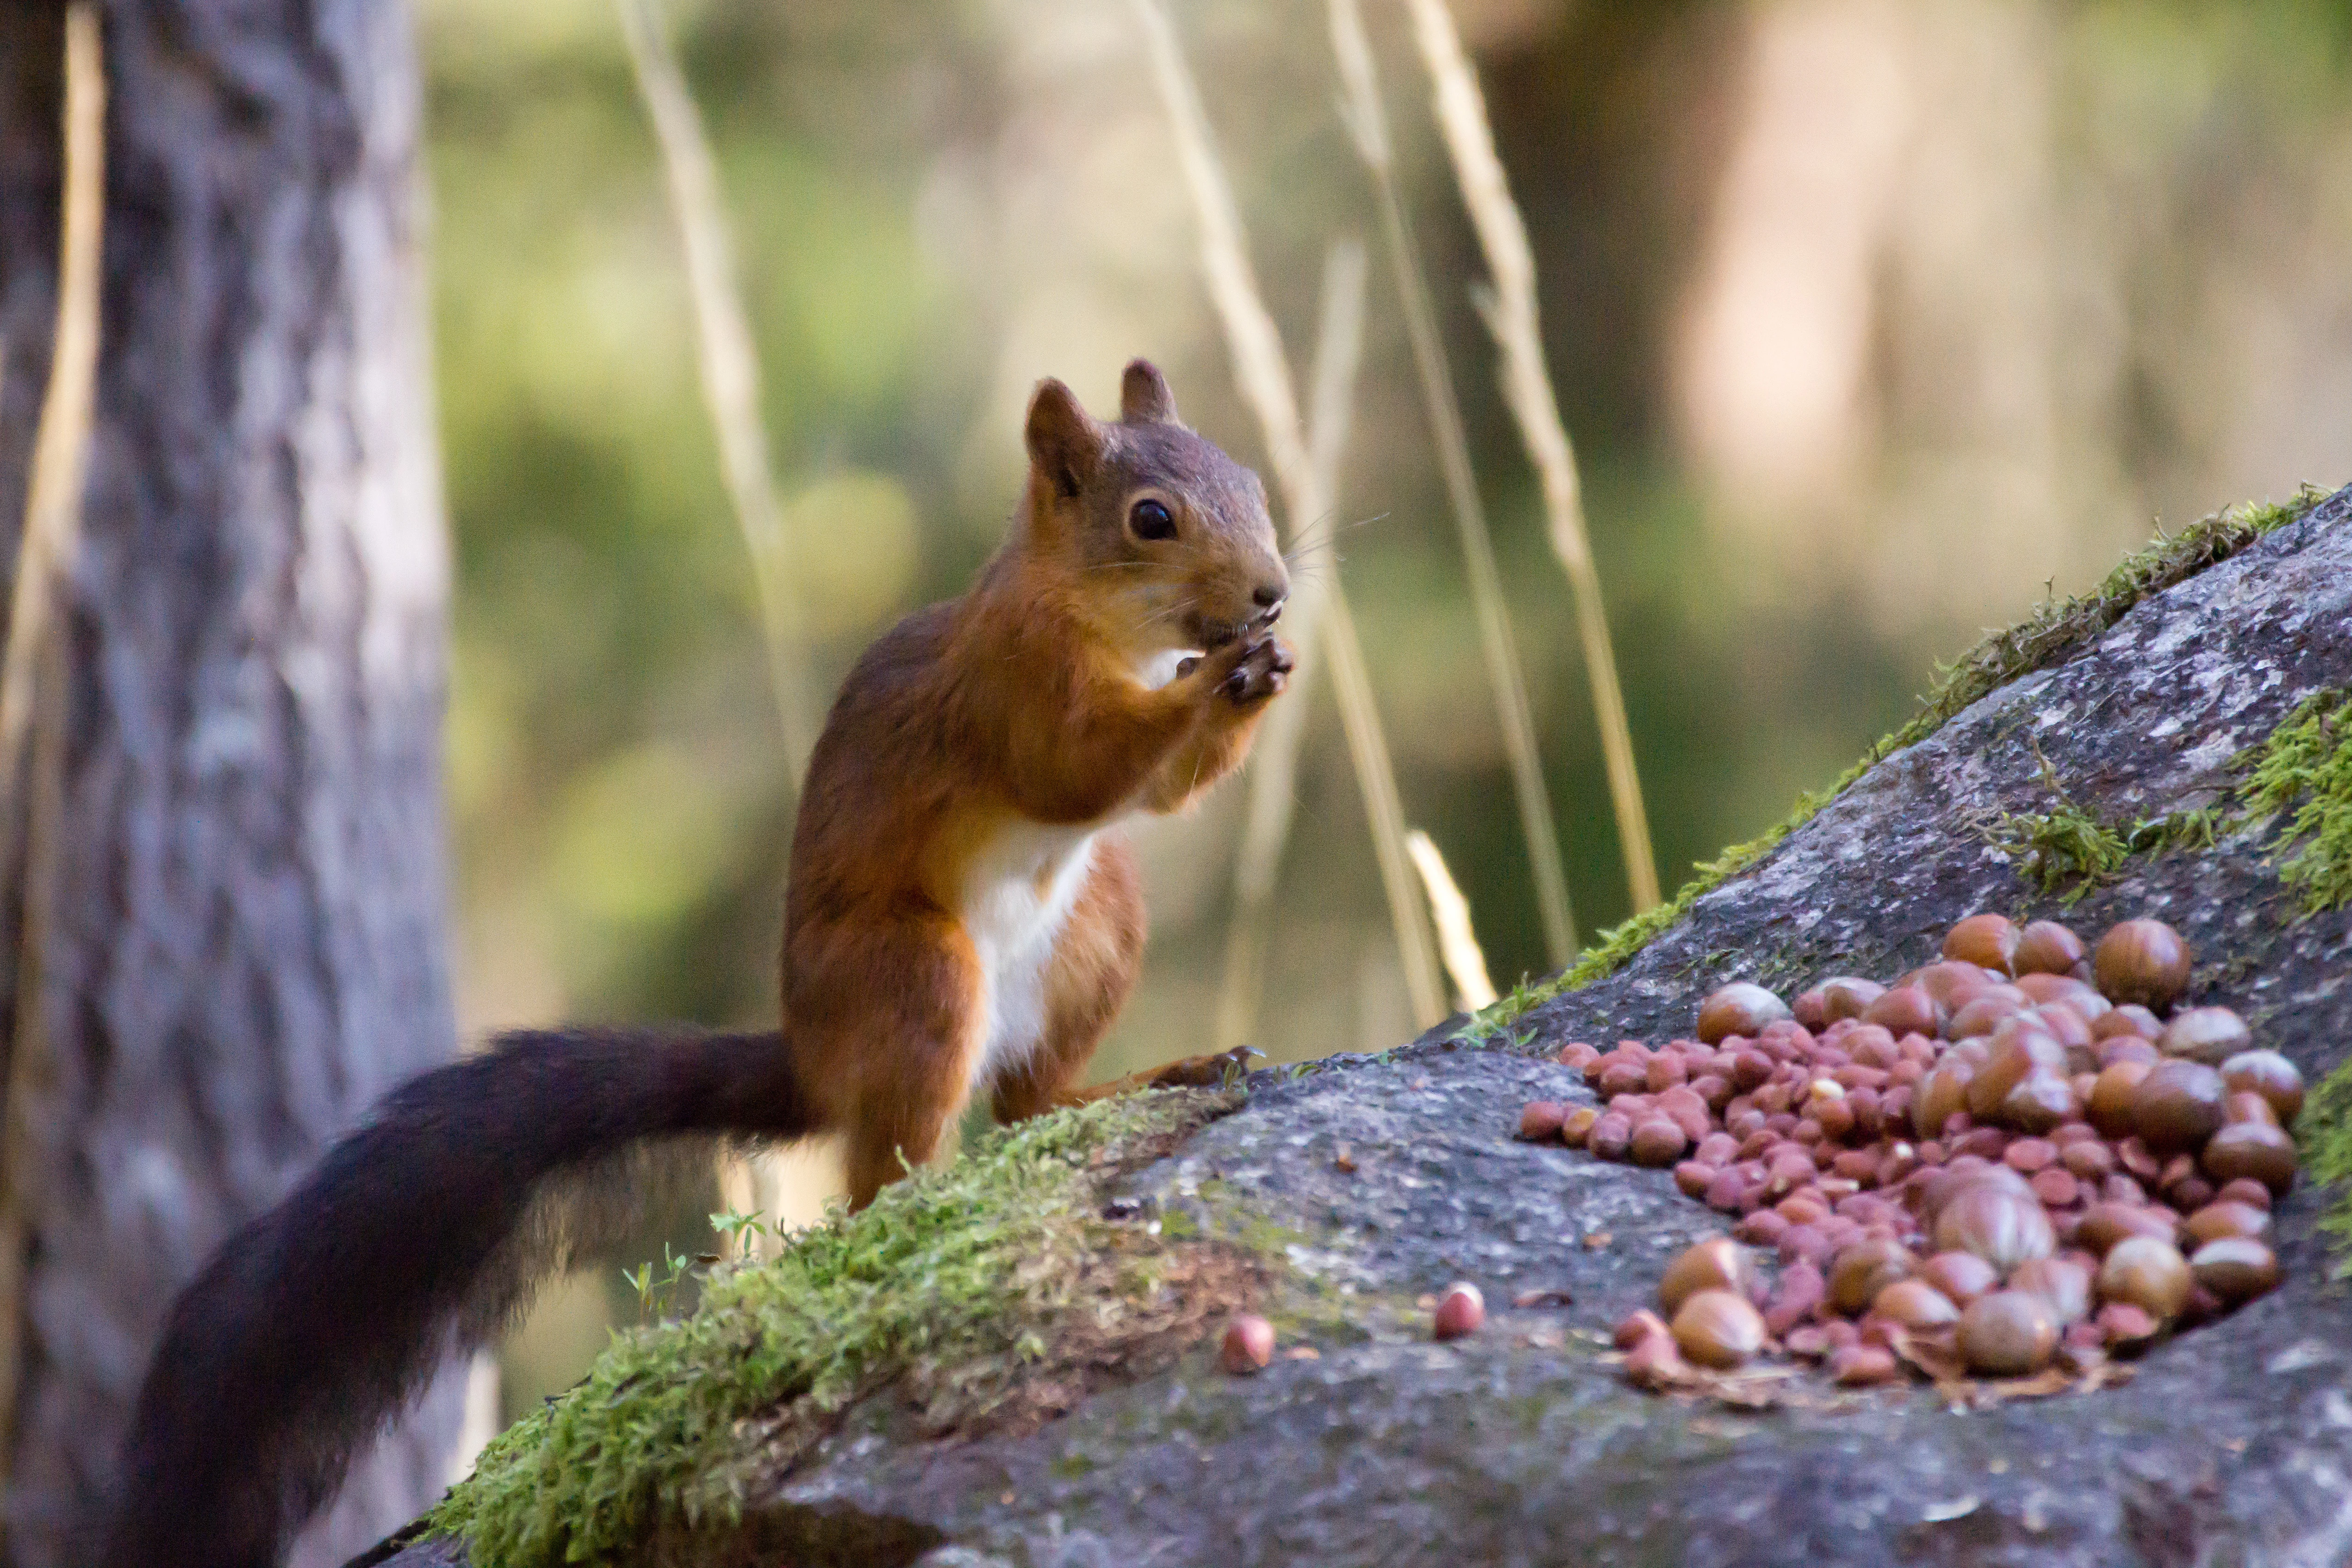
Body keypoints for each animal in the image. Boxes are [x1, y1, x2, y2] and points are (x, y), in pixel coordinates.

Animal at [102, 360, 1294, 1568]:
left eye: (1249, 481)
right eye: (1152, 520)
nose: (1273, 596)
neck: (1101, 619)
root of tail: (816, 1054)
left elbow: (1161, 794)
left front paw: (1265, 676)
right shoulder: (1013, 679)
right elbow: (1077, 766)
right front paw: (1215, 683)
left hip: (1099, 921)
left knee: (1026, 1098)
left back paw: (1149, 1078)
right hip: (916, 974)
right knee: (884, 1175)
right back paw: (926, 1201)